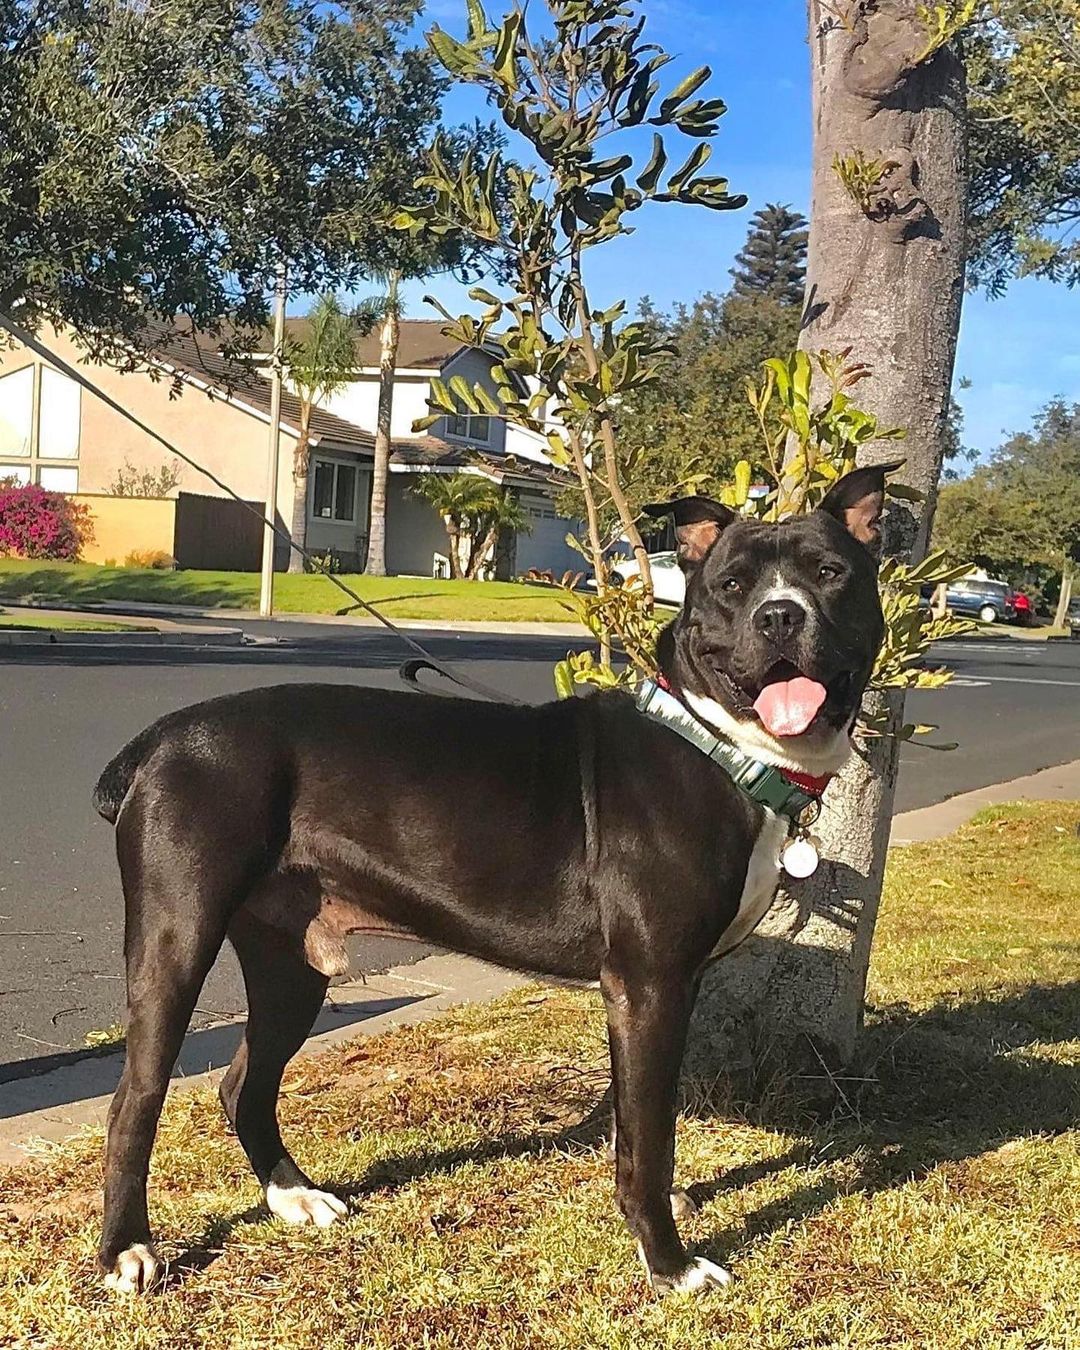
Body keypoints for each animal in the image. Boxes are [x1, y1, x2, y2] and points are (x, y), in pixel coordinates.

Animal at [90, 464, 885, 1296]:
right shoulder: (651, 986)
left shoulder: (659, 992)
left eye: (830, 573)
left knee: (245, 1081)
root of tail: (156, 741)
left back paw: (293, 1196)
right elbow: (648, 1138)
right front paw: (669, 1263)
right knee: (135, 1098)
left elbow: (643, 1126)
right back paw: (127, 1248)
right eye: (733, 584)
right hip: (178, 937)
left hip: (291, 959)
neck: (720, 745)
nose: (780, 616)